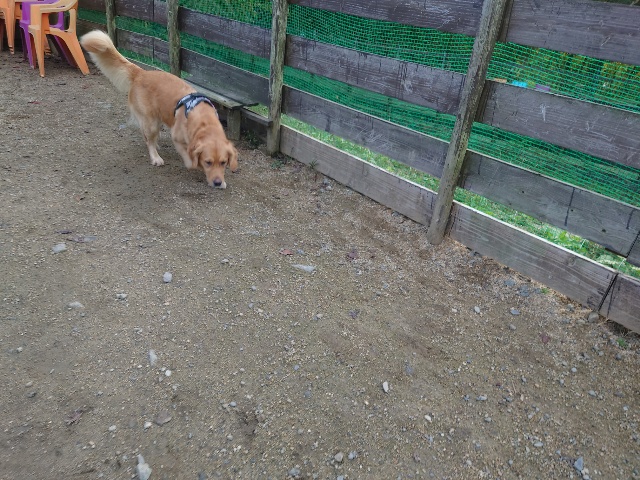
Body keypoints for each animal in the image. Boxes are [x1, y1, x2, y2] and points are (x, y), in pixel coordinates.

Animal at [79, 30, 238, 189]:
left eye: (223, 162)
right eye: (208, 162)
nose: (217, 183)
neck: (205, 122)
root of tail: (141, 73)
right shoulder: (177, 138)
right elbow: (190, 160)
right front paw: (196, 165)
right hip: (151, 122)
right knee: (148, 139)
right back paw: (155, 157)